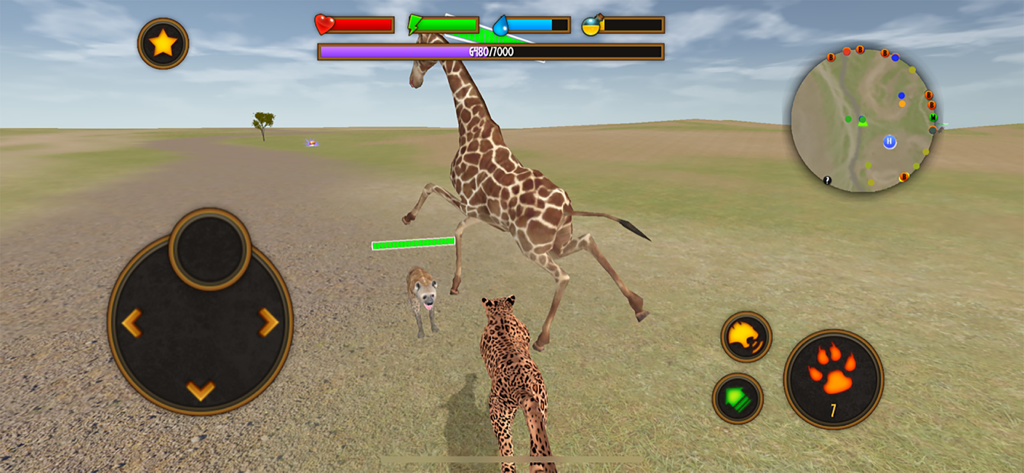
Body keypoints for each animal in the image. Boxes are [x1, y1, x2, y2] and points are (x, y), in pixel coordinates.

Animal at [402, 33, 650, 352]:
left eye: (419, 51)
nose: (413, 81)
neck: (471, 129)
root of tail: (568, 208)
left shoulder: (470, 205)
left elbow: (437, 199)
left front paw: (409, 219)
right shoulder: (483, 215)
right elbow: (455, 226)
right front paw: (455, 284)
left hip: (530, 246)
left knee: (564, 275)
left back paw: (543, 339)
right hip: (555, 243)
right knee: (589, 240)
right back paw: (638, 305)